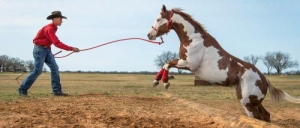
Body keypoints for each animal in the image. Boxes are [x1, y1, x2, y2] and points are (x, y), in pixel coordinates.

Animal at [148, 4, 300, 122]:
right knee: (266, 116)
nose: (149, 35)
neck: (194, 39)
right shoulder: (185, 63)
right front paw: (156, 81)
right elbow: (166, 64)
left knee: (258, 118)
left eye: (158, 19)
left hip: (248, 104)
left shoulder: (189, 64)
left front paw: (164, 82)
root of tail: (264, 79)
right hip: (254, 102)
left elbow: (167, 63)